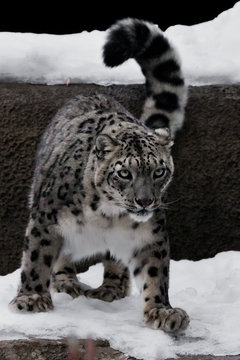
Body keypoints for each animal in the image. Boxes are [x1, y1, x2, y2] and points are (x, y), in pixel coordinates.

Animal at [9, 19, 189, 332]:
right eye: (125, 173)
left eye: (159, 171)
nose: (145, 201)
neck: (109, 216)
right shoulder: (45, 219)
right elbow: (36, 258)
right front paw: (31, 299)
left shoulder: (150, 236)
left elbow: (156, 273)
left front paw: (162, 311)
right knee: (62, 256)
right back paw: (67, 281)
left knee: (114, 262)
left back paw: (110, 288)